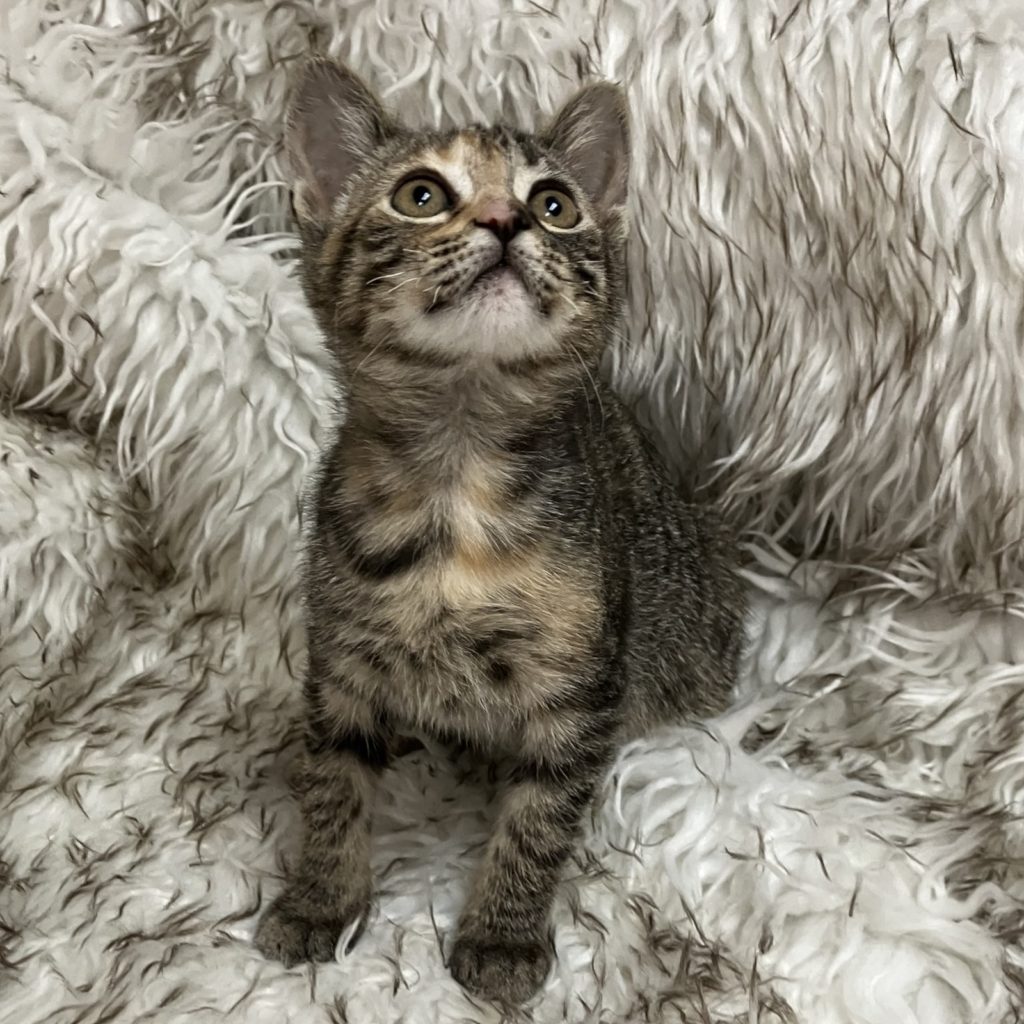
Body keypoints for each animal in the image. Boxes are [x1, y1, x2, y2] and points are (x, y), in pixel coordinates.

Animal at [253, 58, 746, 1007]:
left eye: (555, 204)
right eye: (419, 195)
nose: (505, 219)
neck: (456, 485)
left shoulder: (580, 691)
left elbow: (539, 820)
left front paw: (504, 936)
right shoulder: (340, 667)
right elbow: (332, 784)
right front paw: (320, 898)